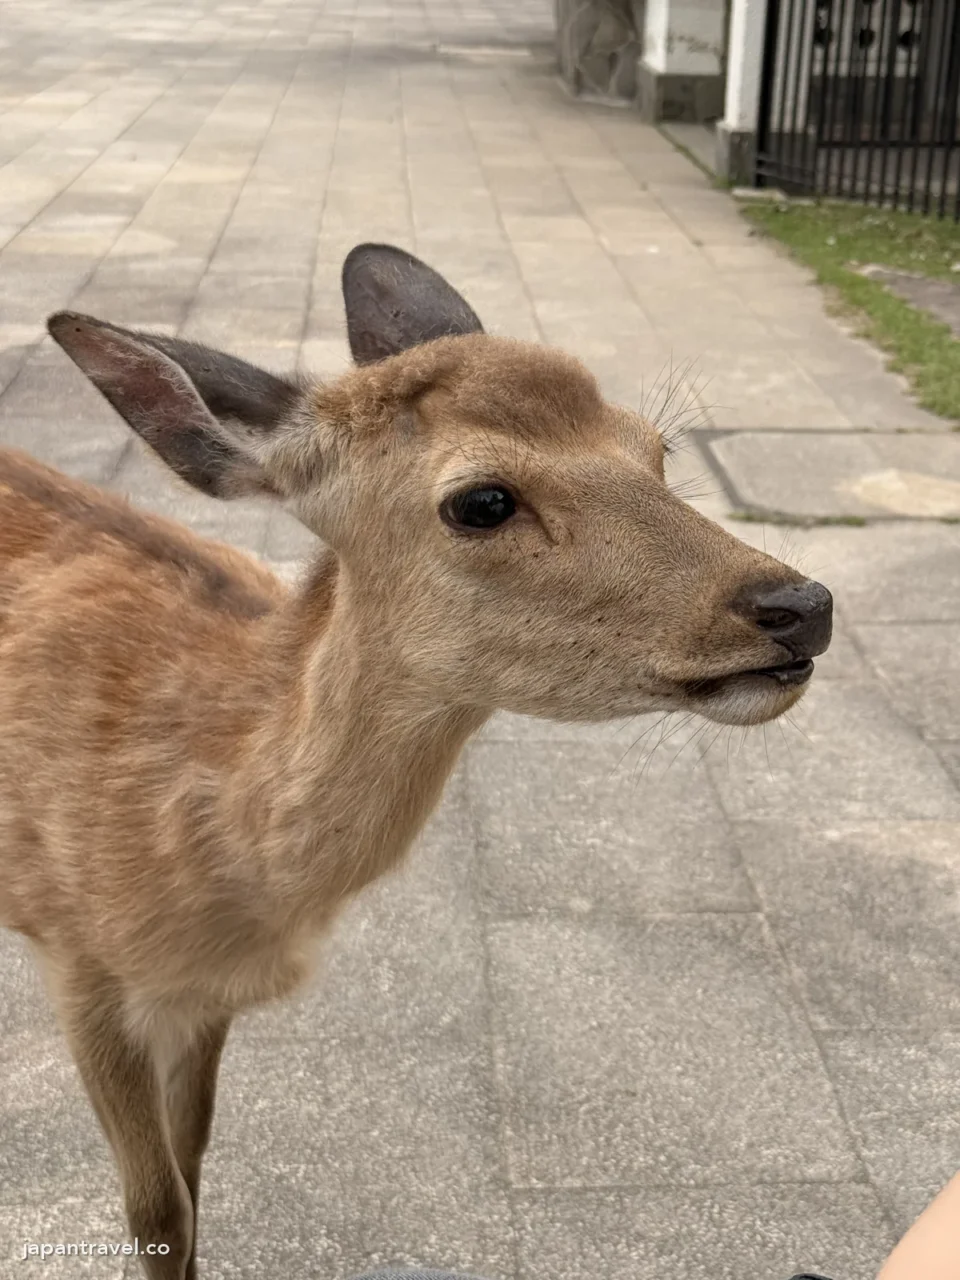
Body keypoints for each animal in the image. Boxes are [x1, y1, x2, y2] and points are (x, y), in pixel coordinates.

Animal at [0, 244, 831, 1279]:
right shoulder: (77, 958)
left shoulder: (201, 1000)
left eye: (655, 449)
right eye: (481, 501)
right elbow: (155, 1208)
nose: (801, 604)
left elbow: (193, 1174)